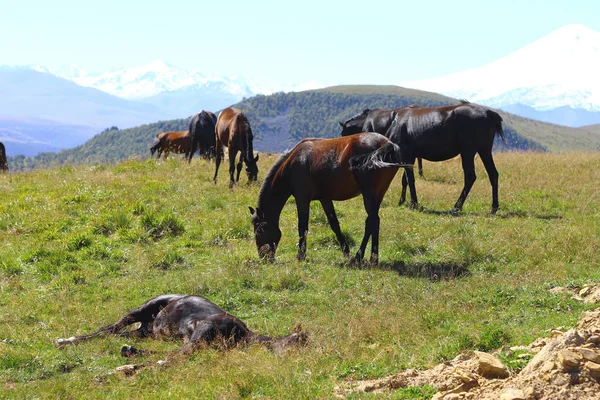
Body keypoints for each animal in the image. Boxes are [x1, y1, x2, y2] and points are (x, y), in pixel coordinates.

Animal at [57, 294, 304, 356]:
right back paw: (65, 340)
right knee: (110, 328)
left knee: (121, 334)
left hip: (146, 331)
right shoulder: (197, 337)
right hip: (141, 310)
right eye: (300, 340)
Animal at [248, 132, 408, 266]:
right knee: (375, 221)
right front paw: (346, 253)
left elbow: (302, 227)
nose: (264, 258)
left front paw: (300, 255)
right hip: (378, 194)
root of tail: (387, 144)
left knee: (371, 221)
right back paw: (372, 258)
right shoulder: (325, 199)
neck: (293, 162)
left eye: (259, 231)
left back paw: (360, 257)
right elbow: (334, 225)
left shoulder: (302, 198)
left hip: (369, 194)